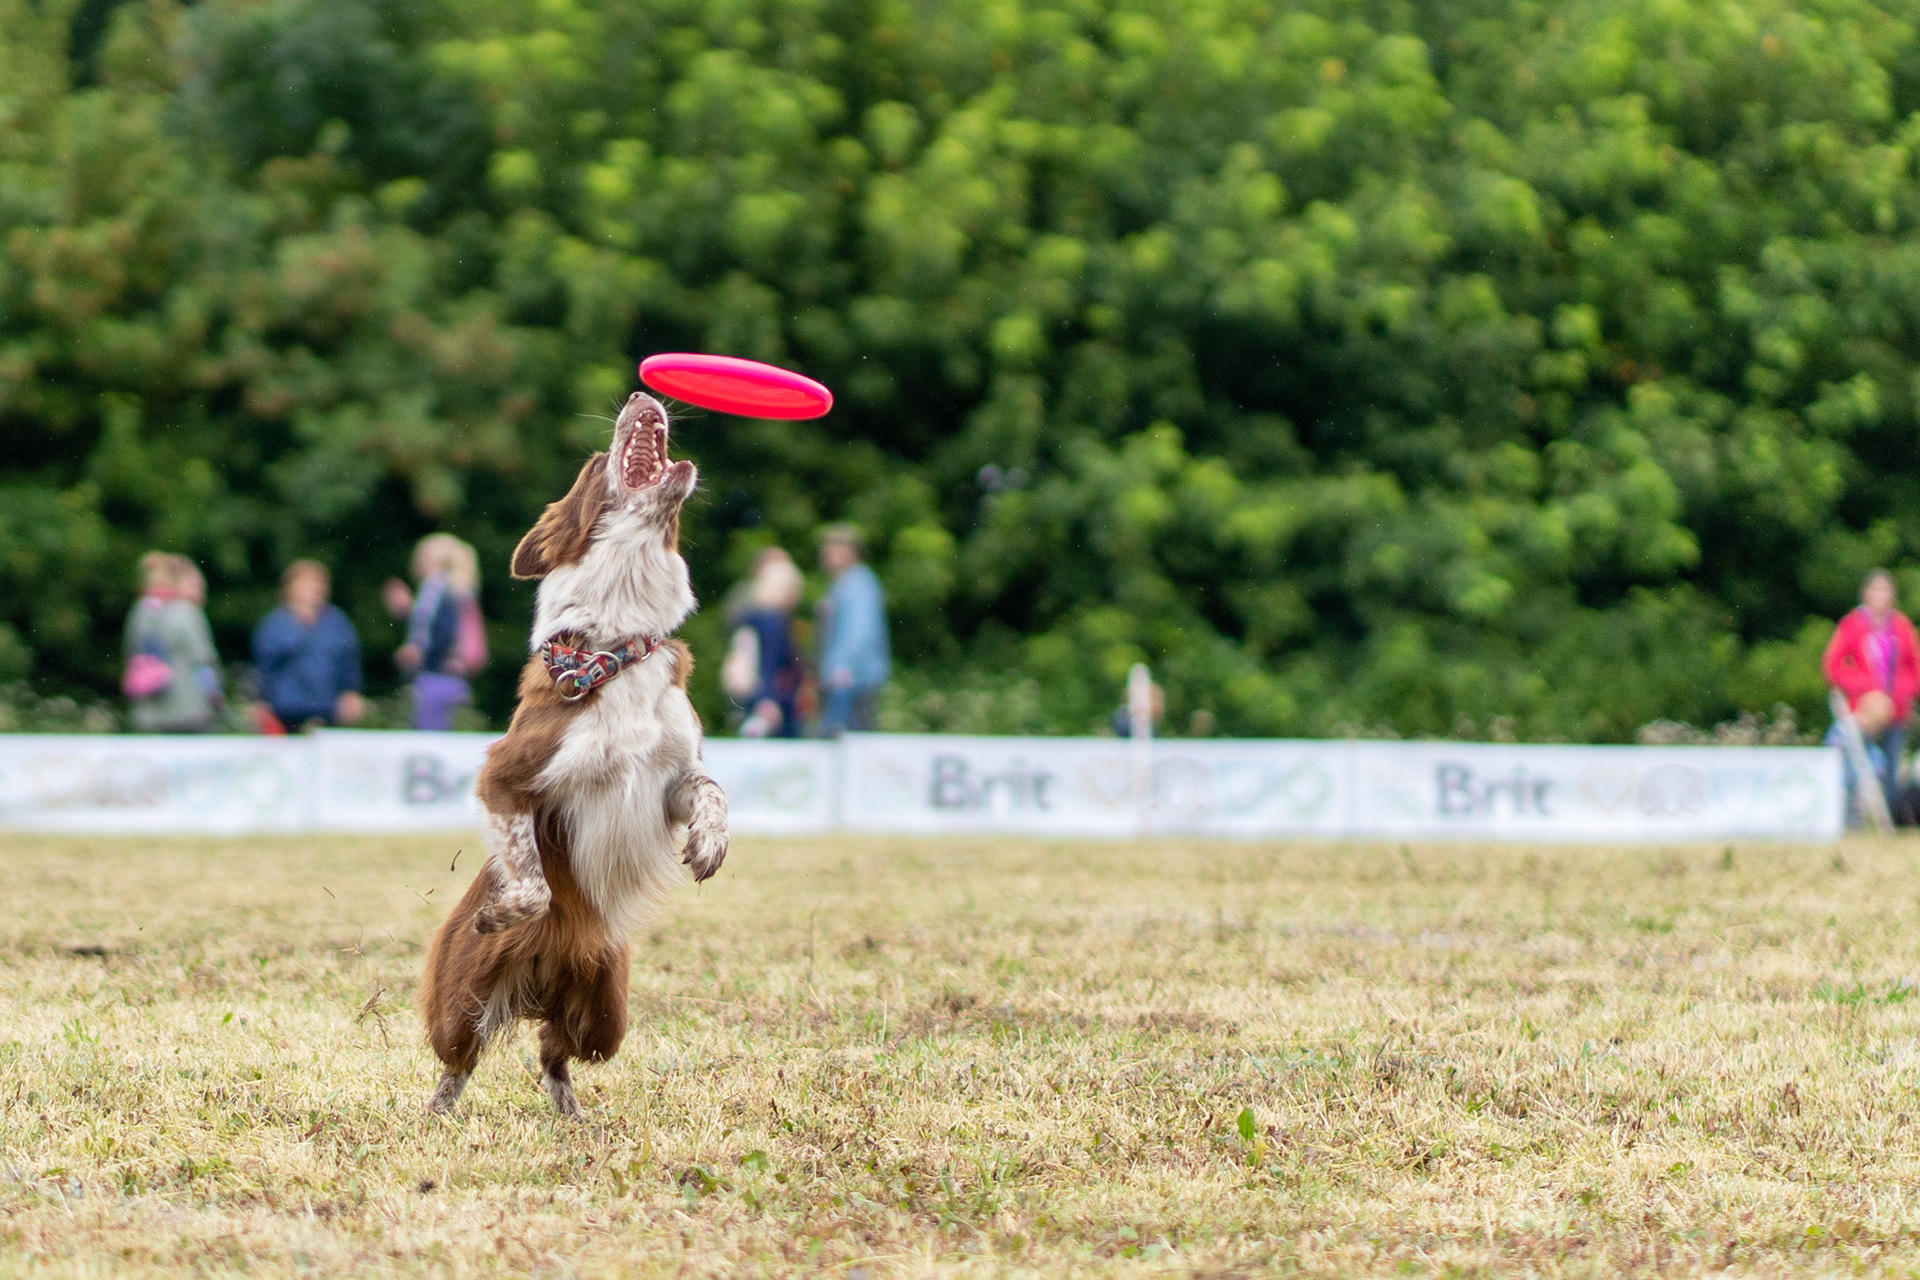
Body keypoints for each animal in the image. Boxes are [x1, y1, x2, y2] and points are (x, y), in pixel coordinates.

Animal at [417, 391, 729, 1117]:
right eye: (593, 464)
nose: (641, 393)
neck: (616, 648)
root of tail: (537, 986)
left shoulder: (671, 777)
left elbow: (711, 791)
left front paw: (709, 844)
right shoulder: (505, 776)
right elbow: (532, 887)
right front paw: (500, 911)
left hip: (605, 1008)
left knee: (554, 1054)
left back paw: (573, 1118)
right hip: (462, 996)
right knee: (459, 1061)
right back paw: (436, 1114)